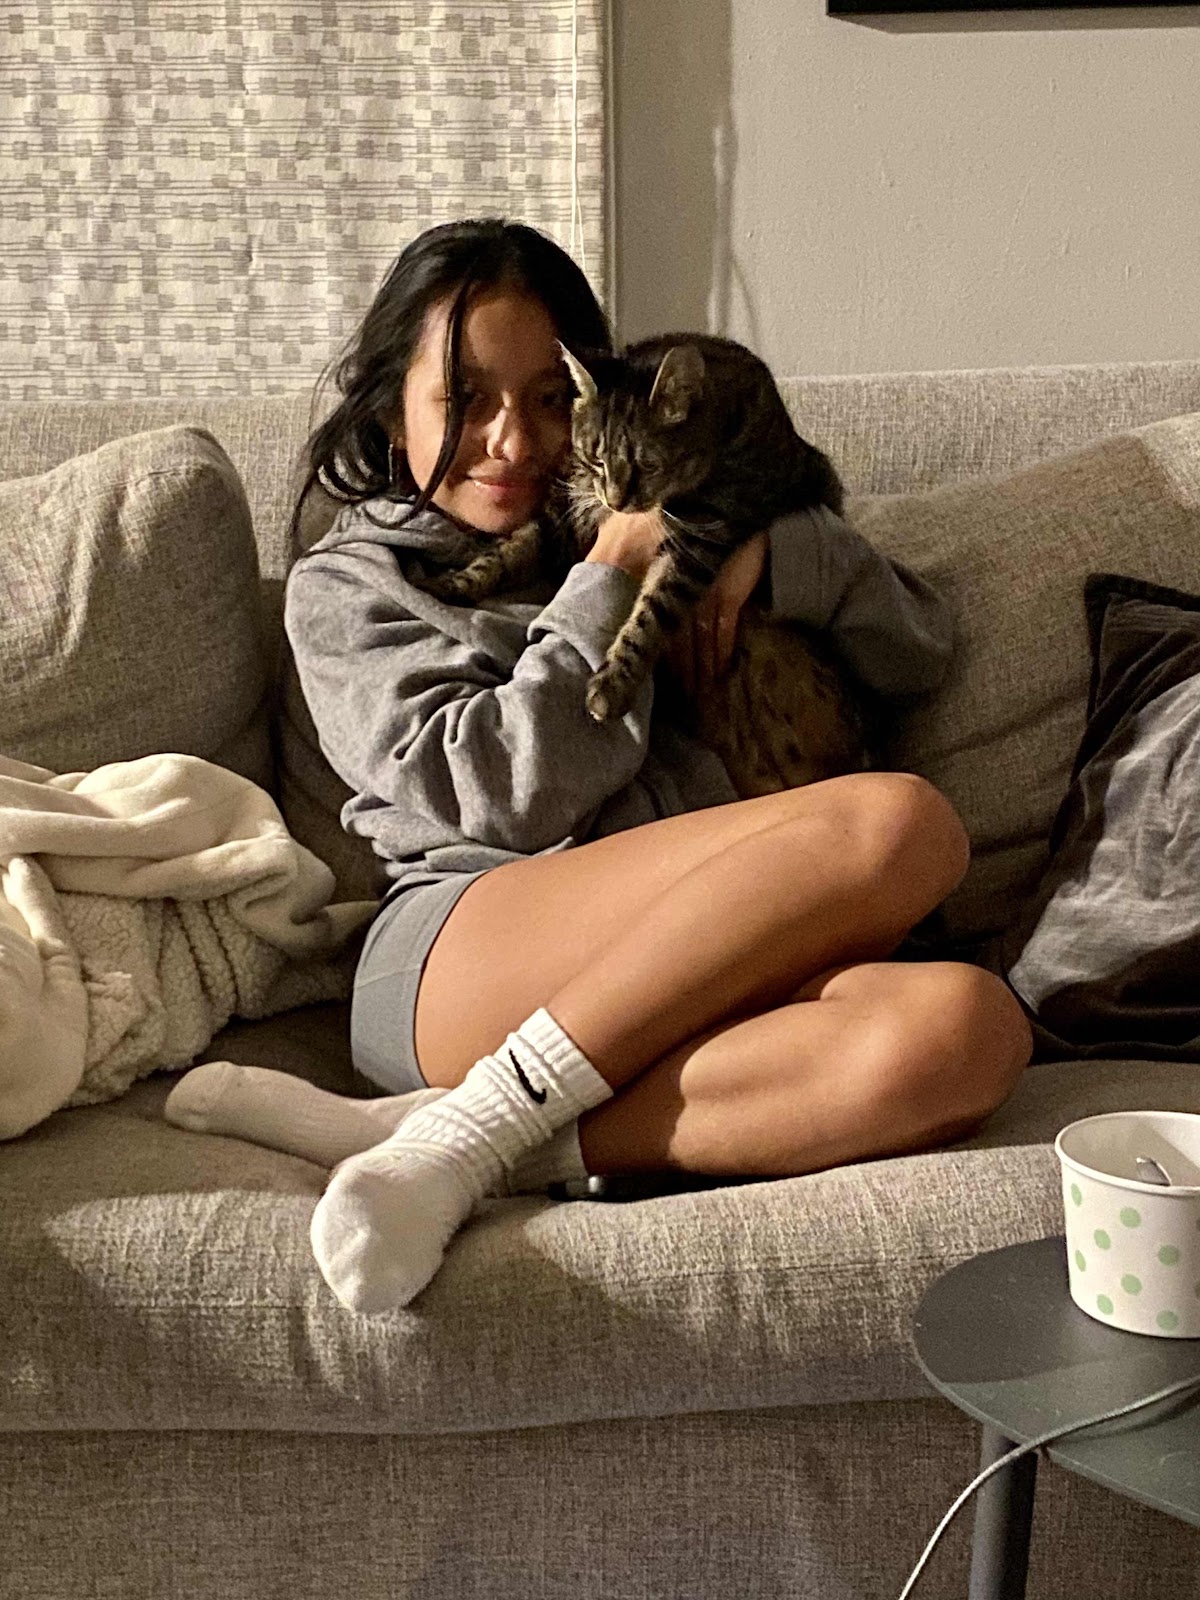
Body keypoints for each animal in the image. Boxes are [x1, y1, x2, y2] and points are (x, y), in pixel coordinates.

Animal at [413, 333, 875, 798]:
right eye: (595, 457)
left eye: (648, 464)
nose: (616, 500)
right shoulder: (561, 517)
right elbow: (504, 553)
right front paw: (449, 584)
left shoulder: (699, 536)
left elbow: (649, 615)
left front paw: (613, 685)